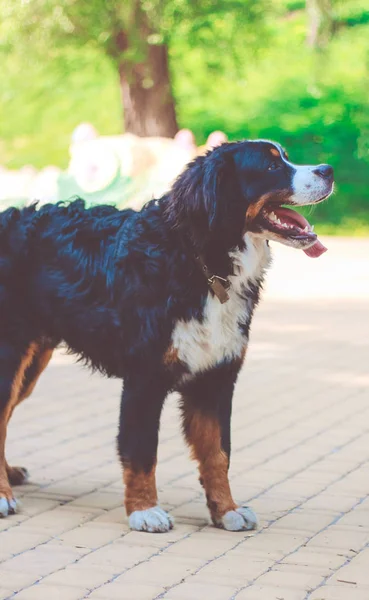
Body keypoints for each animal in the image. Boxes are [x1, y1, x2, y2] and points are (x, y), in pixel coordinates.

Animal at [0, 139, 332, 528]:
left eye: (286, 157)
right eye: (270, 166)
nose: (328, 170)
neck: (202, 261)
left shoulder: (216, 375)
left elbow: (218, 453)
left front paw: (227, 510)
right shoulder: (145, 377)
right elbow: (143, 450)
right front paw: (144, 510)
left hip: (30, 366)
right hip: (11, 357)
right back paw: (4, 494)